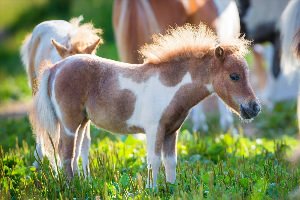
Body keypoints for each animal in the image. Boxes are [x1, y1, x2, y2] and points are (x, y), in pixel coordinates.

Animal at [19, 15, 102, 175]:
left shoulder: (85, 114)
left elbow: (84, 142)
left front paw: (86, 176)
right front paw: (63, 174)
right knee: (43, 131)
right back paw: (41, 164)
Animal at [30, 23, 260, 188]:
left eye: (247, 74)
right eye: (234, 76)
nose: (254, 108)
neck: (170, 86)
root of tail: (56, 67)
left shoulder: (171, 131)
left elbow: (171, 161)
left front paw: (171, 188)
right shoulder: (154, 129)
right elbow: (154, 160)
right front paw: (152, 189)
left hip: (82, 123)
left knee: (76, 152)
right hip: (69, 123)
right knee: (64, 153)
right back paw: (71, 188)